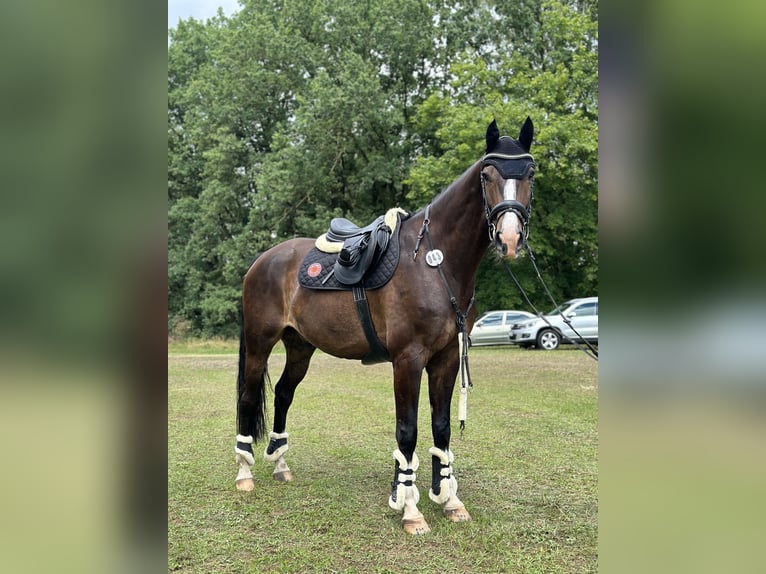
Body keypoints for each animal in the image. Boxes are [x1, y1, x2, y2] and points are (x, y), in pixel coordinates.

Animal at [231, 117, 536, 536]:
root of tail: (262, 261)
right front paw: (409, 507)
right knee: (248, 396)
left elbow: (441, 426)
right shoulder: (408, 359)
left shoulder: (445, 358)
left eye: (530, 174)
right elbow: (407, 430)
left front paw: (449, 499)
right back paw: (244, 474)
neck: (433, 263)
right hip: (260, 342)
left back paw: (280, 463)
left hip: (300, 347)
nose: (509, 238)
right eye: (488, 175)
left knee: (282, 394)